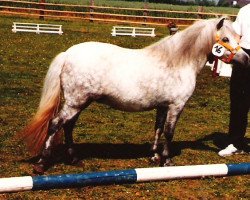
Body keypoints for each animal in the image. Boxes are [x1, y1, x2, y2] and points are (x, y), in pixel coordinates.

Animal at [18, 17, 249, 174]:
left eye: (239, 37)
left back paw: (74, 159)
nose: (246, 59)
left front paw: (154, 156)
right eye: (225, 38)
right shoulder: (176, 105)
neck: (178, 61)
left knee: (68, 126)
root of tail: (68, 54)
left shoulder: (162, 106)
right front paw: (166, 160)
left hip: (79, 103)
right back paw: (42, 164)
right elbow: (169, 132)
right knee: (55, 124)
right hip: (76, 102)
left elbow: (157, 129)